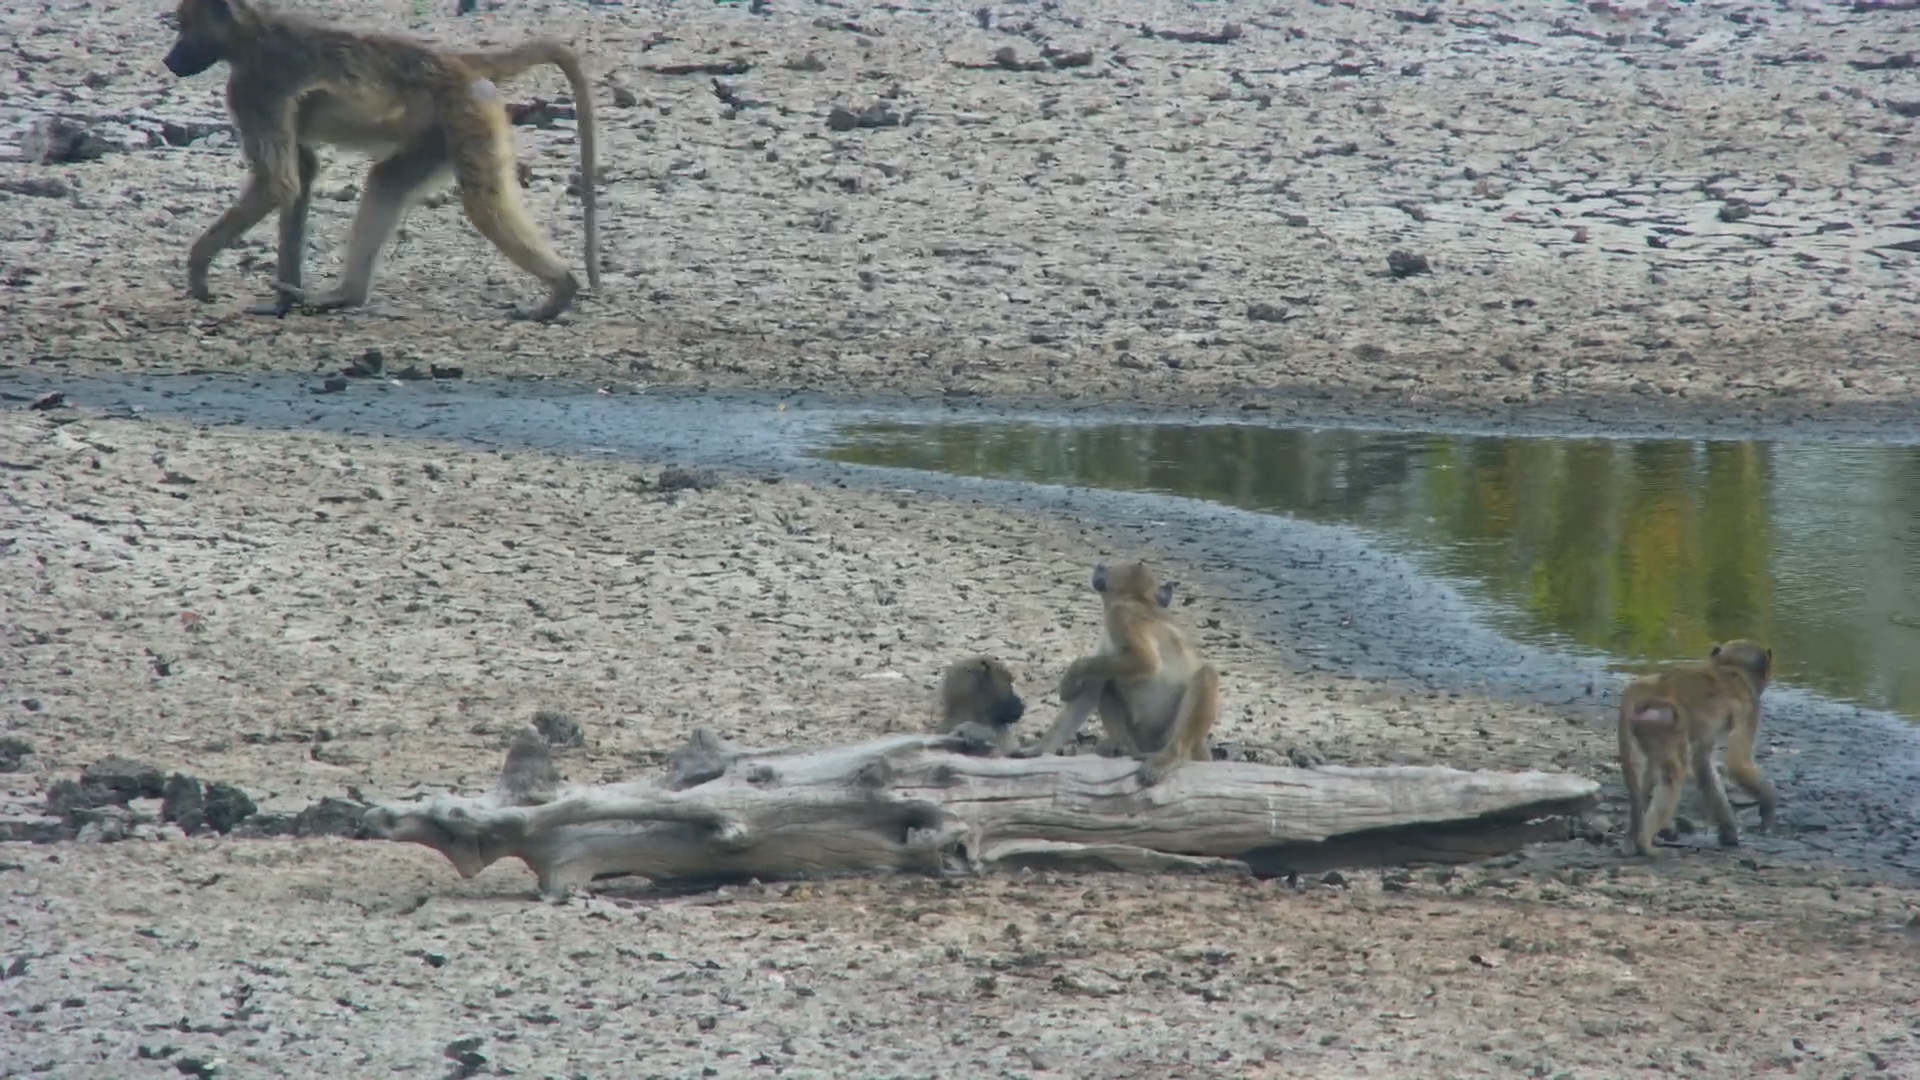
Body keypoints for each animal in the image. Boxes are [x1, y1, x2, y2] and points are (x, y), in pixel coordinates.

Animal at [161, 0, 600, 322]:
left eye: (184, 26)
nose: (170, 60)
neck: (254, 32)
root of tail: (456, 62)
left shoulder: (252, 90)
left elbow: (277, 185)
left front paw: (198, 272)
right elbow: (300, 176)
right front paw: (283, 300)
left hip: (467, 112)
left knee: (482, 204)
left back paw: (563, 288)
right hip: (443, 131)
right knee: (387, 179)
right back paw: (347, 295)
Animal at [1013, 559, 1219, 785]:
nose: (1101, 566)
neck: (1137, 599)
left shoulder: (1119, 616)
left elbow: (1144, 661)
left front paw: (1070, 678)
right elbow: (1089, 690)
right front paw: (1039, 750)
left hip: (1170, 735)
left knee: (1205, 674)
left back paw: (1170, 756)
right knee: (1106, 684)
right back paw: (1127, 751)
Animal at [1617, 638, 1778, 859]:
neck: (1731, 666)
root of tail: (1651, 687)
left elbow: (1702, 763)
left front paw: (1729, 832)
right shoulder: (1750, 707)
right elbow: (1737, 764)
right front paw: (1768, 801)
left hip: (1649, 724)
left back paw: (1633, 837)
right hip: (1665, 717)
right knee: (1674, 773)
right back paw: (1644, 844)